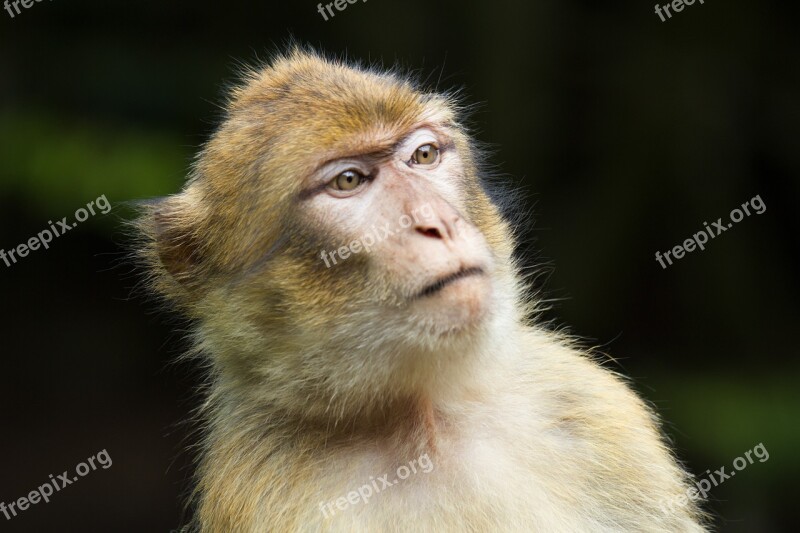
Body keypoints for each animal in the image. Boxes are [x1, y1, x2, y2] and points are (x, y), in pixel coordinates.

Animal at [134, 47, 708, 528]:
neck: (424, 417)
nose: (438, 222)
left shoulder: (592, 407)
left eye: (424, 155)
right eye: (348, 181)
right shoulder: (270, 491)